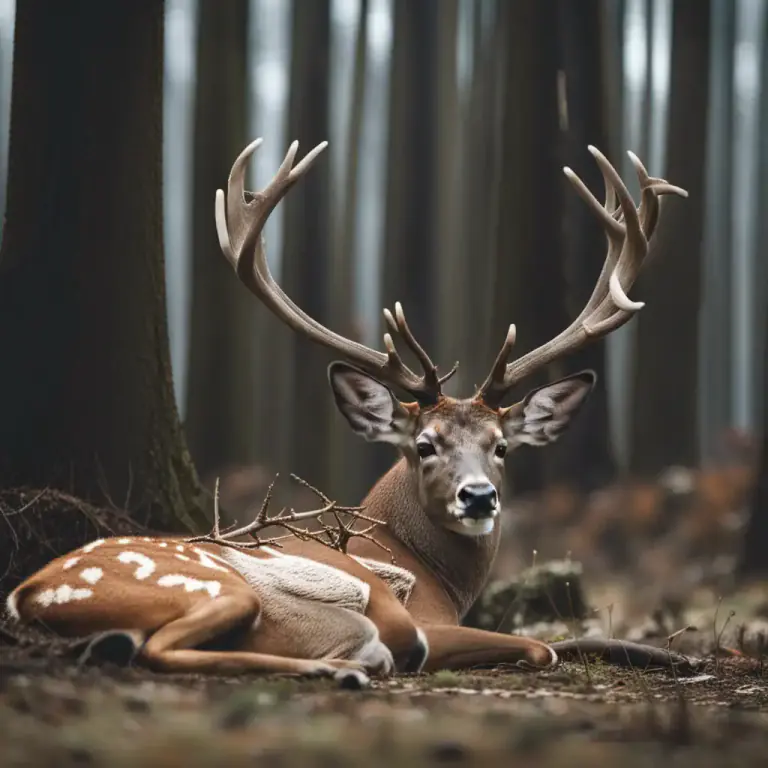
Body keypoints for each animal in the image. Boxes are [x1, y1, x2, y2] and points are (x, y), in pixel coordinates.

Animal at [5, 137, 691, 678]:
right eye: (425, 444)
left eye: (501, 446)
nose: (478, 497)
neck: (428, 571)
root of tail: (29, 593)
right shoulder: (425, 617)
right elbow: (540, 646)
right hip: (214, 584)